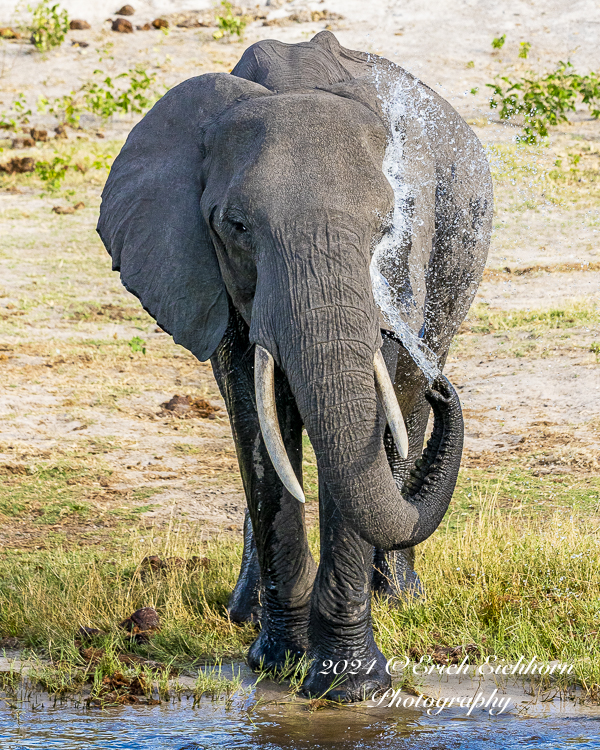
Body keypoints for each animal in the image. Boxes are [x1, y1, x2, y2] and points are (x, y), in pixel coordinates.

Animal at [98, 32, 492, 704]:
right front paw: (278, 664)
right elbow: (254, 417)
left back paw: (399, 596)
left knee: (410, 392)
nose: (450, 391)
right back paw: (245, 612)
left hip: (458, 249)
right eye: (235, 226)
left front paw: (350, 689)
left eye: (385, 227)